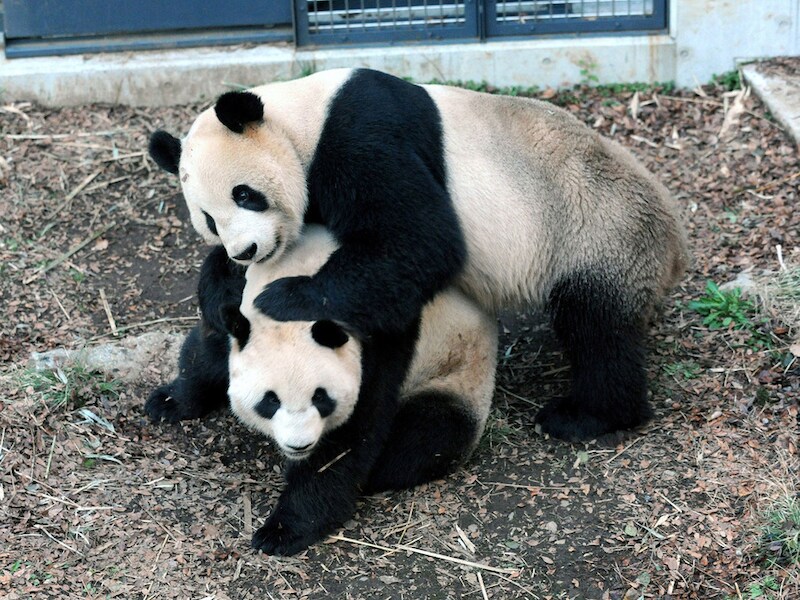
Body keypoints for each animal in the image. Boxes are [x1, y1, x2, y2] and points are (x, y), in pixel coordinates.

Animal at [149, 68, 688, 441]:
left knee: (596, 330)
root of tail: (675, 242)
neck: (302, 118)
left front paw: (285, 297)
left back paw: (586, 415)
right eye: (208, 219)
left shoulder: (359, 134)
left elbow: (419, 237)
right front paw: (219, 290)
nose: (246, 249)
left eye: (245, 195)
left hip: (598, 235)